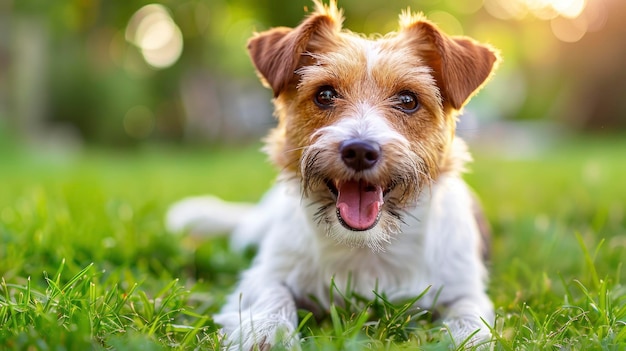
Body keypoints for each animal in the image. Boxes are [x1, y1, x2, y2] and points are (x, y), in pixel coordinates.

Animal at [166, 1, 498, 350]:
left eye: (408, 100)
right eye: (324, 95)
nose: (360, 151)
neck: (365, 248)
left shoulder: (465, 288)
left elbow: (470, 317)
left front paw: (469, 340)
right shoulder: (266, 272)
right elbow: (273, 294)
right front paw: (269, 331)